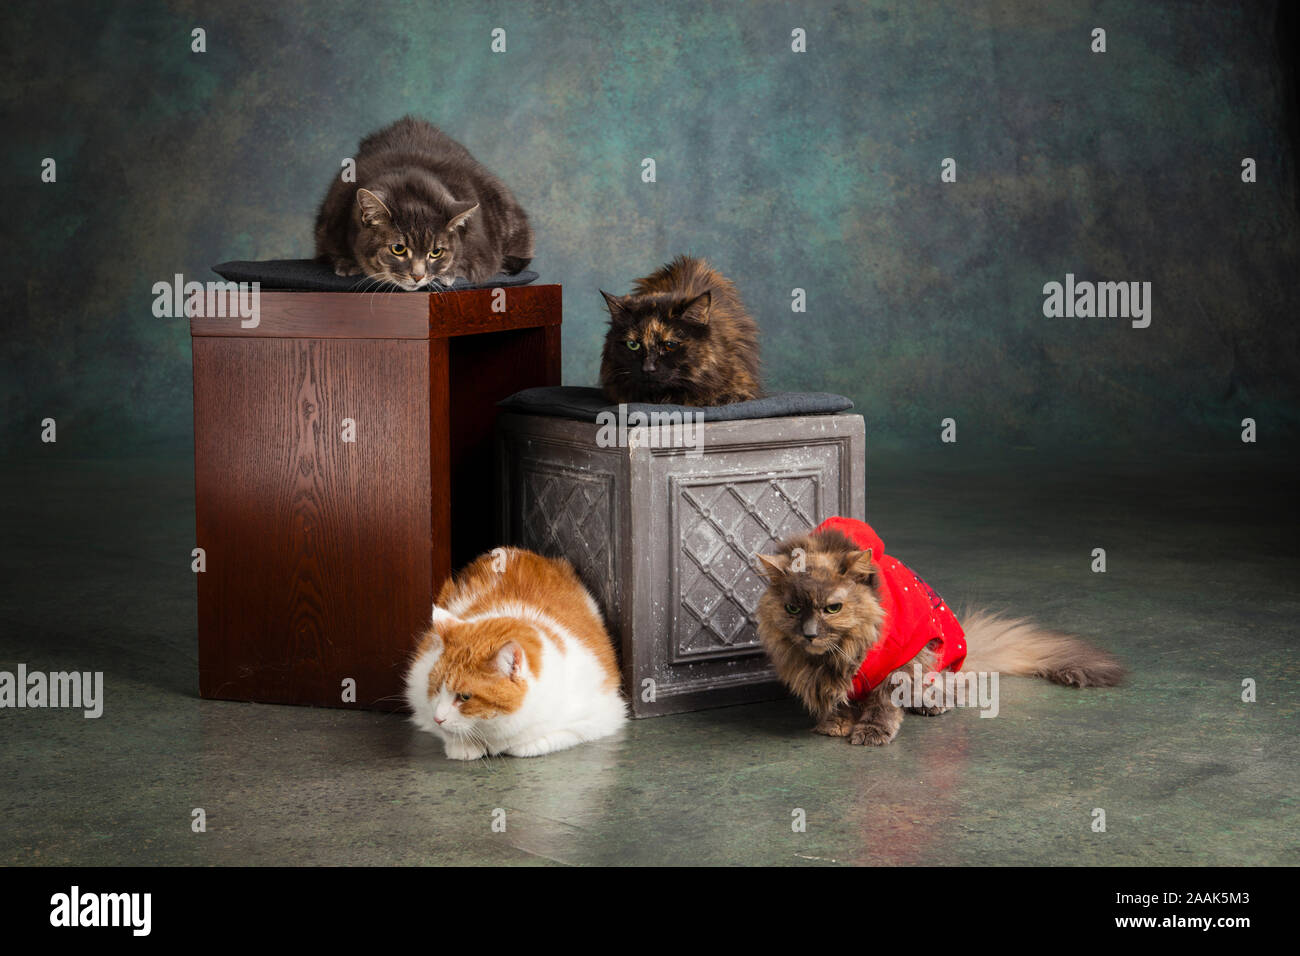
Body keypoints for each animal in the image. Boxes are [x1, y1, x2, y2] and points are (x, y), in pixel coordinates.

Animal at [405, 546, 629, 764]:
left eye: (465, 697)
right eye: (436, 688)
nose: (438, 718)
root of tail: (509, 551)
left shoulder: (603, 716)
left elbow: (536, 741)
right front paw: (463, 745)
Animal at [759, 515, 1123, 749]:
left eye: (832, 608)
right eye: (793, 609)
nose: (809, 634)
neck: (842, 654)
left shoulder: (902, 661)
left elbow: (883, 700)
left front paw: (873, 731)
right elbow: (839, 698)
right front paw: (835, 723)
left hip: (937, 659)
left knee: (955, 686)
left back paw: (932, 703)